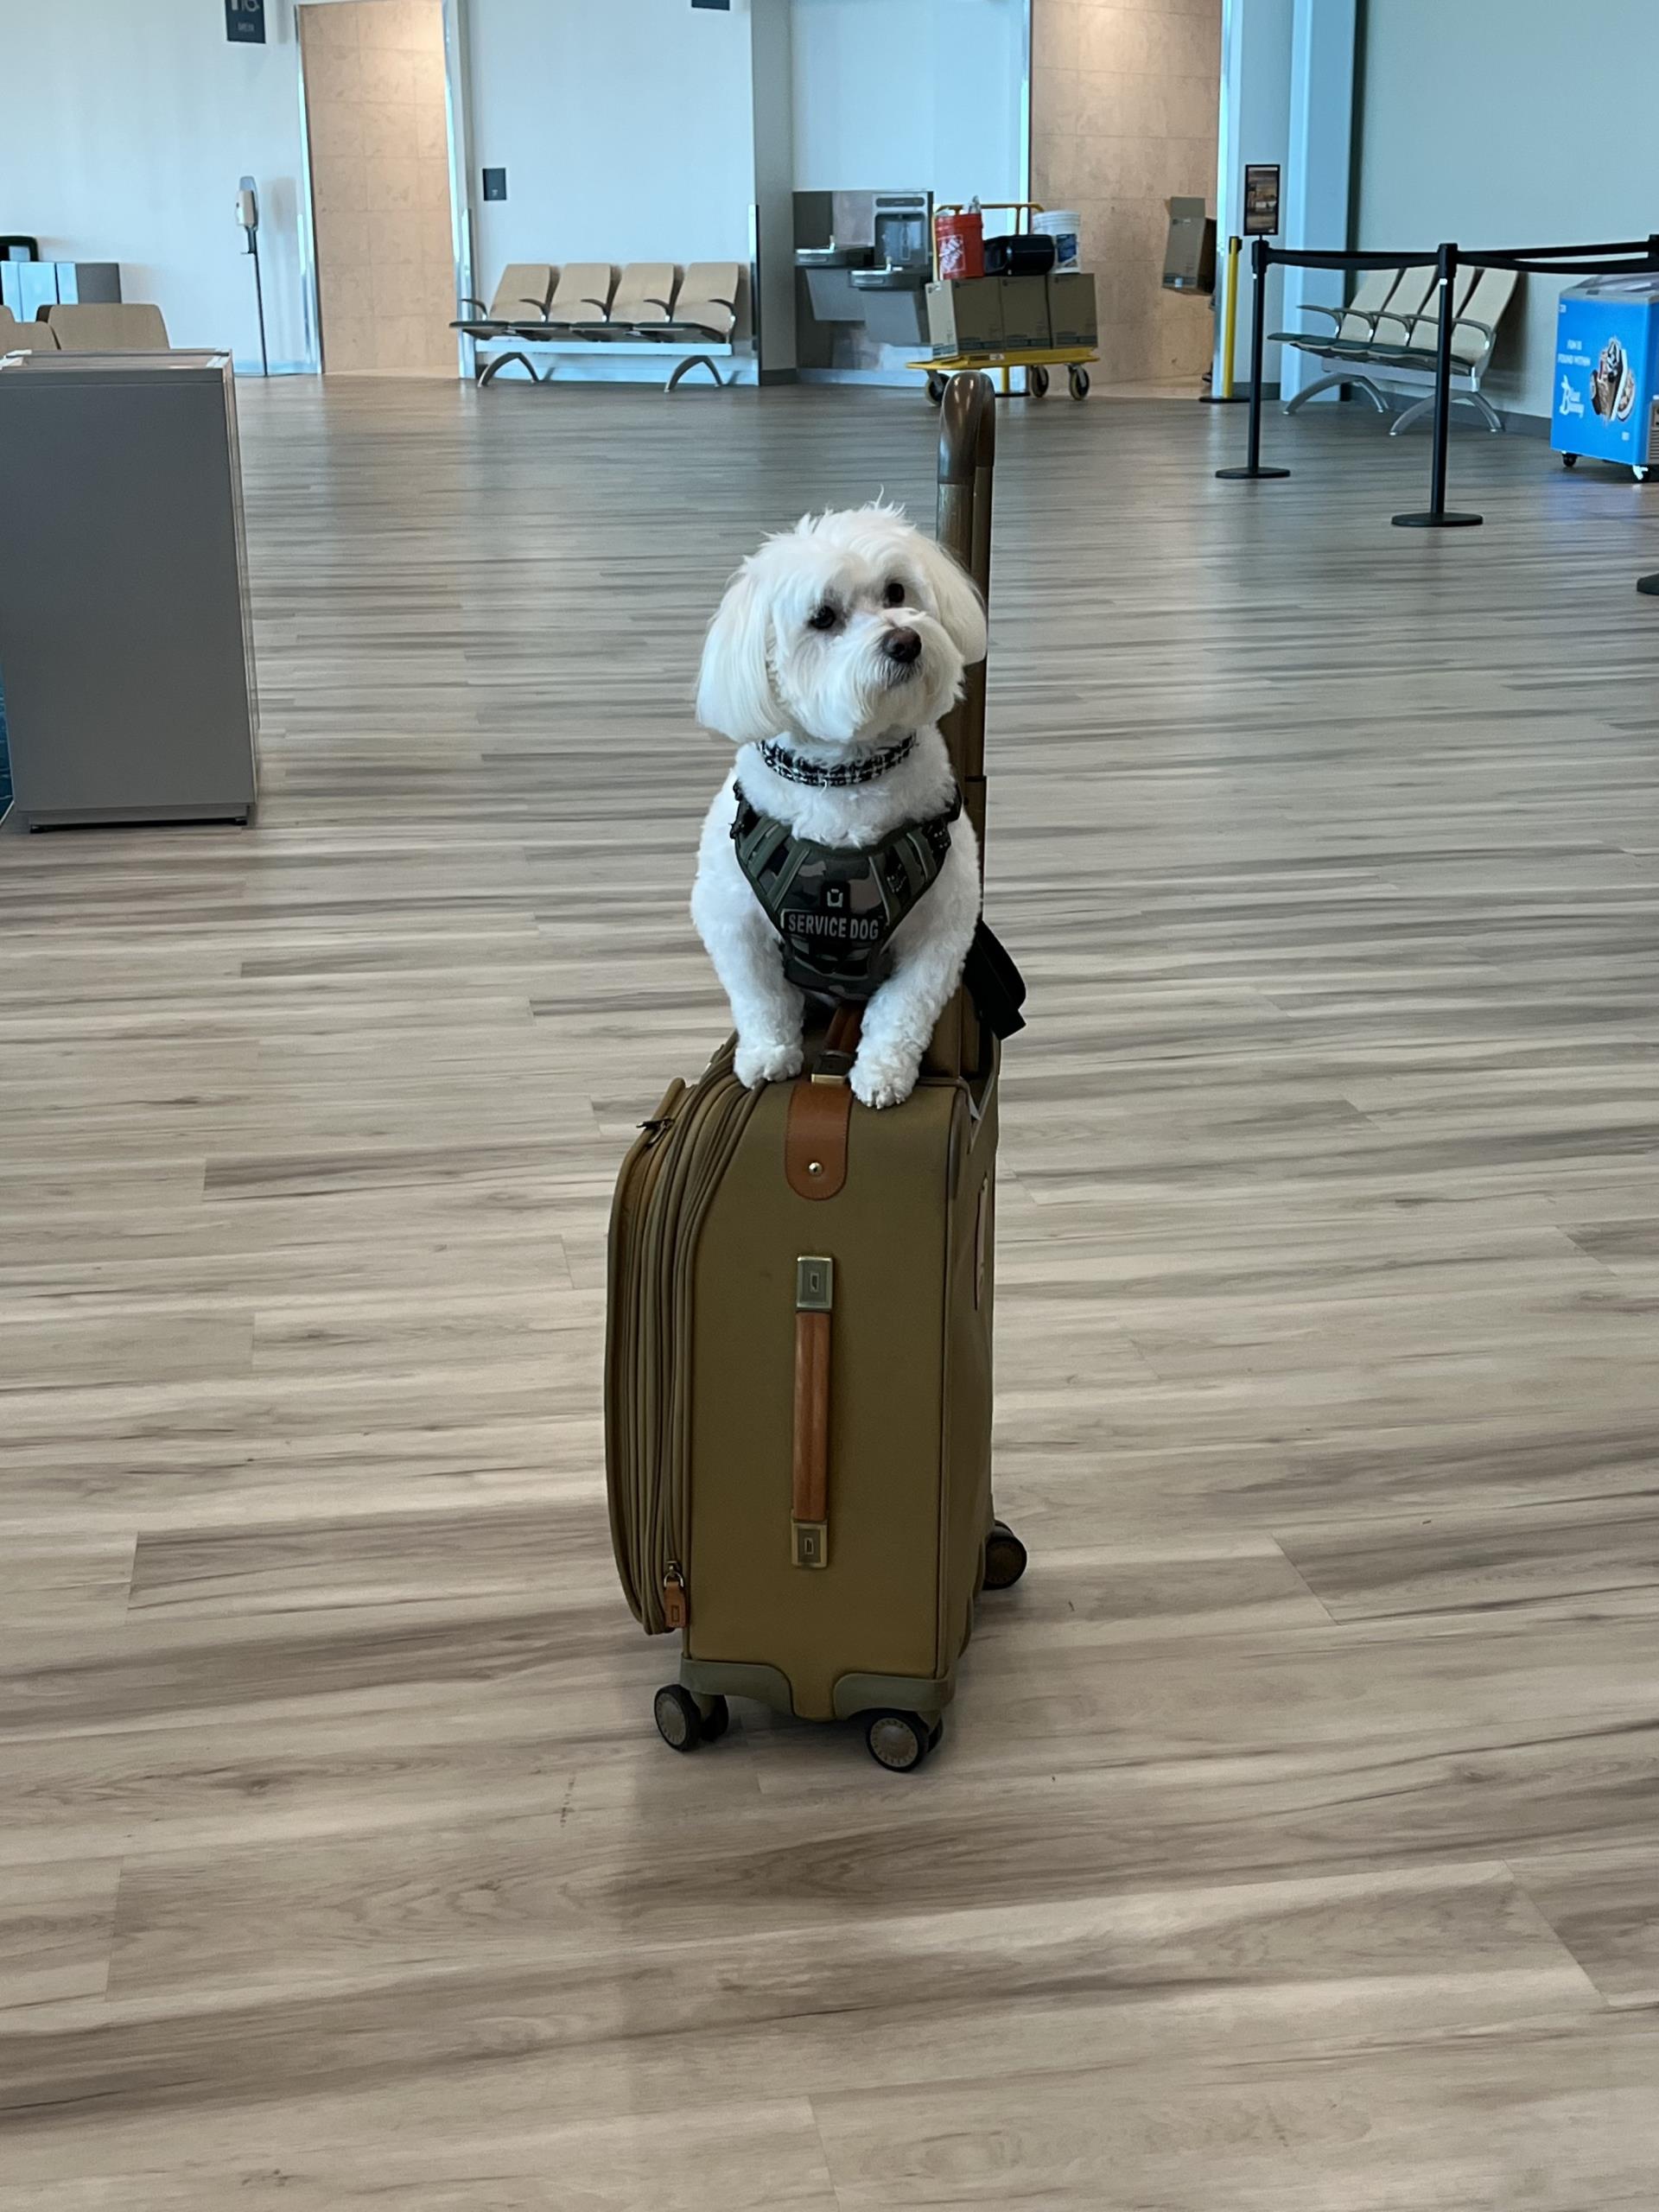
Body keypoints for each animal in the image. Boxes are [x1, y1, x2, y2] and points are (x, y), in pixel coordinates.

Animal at [690, 502, 986, 1106]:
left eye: (896, 591)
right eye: (823, 618)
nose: (905, 642)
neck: (845, 778)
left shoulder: (941, 928)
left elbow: (903, 1010)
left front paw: (883, 1073)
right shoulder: (730, 918)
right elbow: (759, 997)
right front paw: (767, 1055)